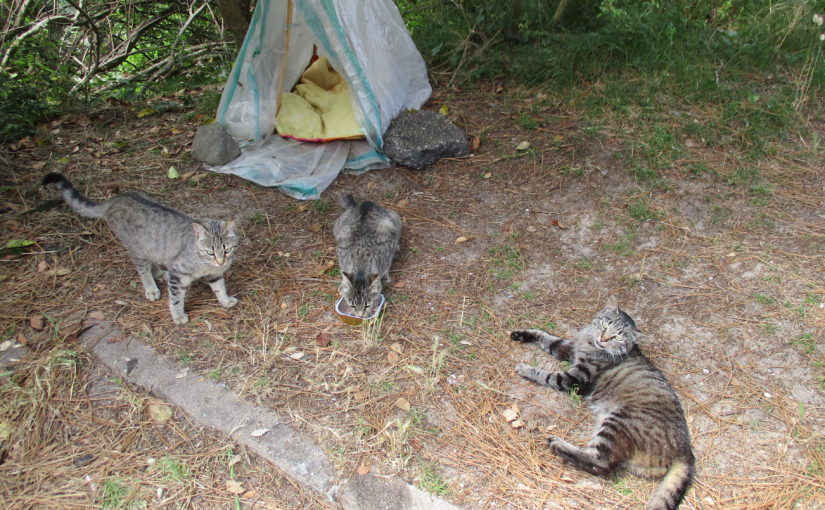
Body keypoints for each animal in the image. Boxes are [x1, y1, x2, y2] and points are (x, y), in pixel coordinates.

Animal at [42, 171, 238, 322]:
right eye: (210, 252)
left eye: (226, 249)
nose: (221, 261)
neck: (204, 263)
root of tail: (114, 199)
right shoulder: (178, 274)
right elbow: (176, 299)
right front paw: (178, 316)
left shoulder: (215, 275)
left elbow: (220, 288)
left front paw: (225, 301)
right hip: (137, 249)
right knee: (143, 269)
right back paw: (151, 288)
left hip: (150, 246)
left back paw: (160, 273)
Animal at [512, 294, 692, 510]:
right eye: (606, 326)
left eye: (618, 337)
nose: (603, 339)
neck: (590, 342)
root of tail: (686, 451)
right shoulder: (568, 348)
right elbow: (546, 337)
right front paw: (522, 333)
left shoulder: (576, 379)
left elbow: (547, 375)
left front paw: (526, 369)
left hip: (617, 422)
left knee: (600, 464)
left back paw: (558, 445)